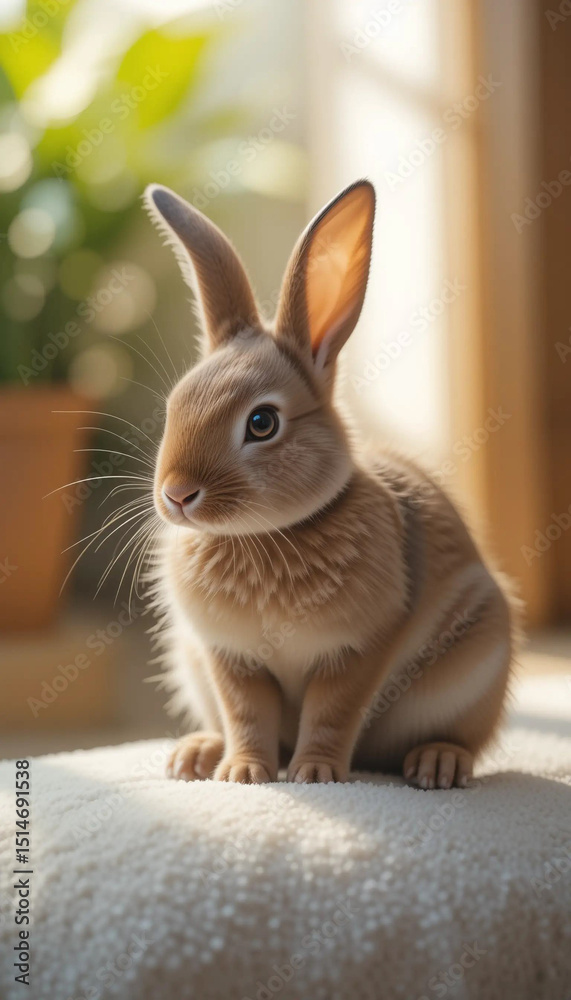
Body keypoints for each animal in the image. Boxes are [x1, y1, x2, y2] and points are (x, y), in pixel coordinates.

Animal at [144, 178, 517, 788]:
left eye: (262, 423)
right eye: (174, 406)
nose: (176, 495)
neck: (265, 535)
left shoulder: (360, 649)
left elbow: (332, 710)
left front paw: (314, 773)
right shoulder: (227, 656)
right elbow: (246, 713)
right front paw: (243, 774)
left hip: (476, 665)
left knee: (460, 738)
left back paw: (437, 765)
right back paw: (194, 755)